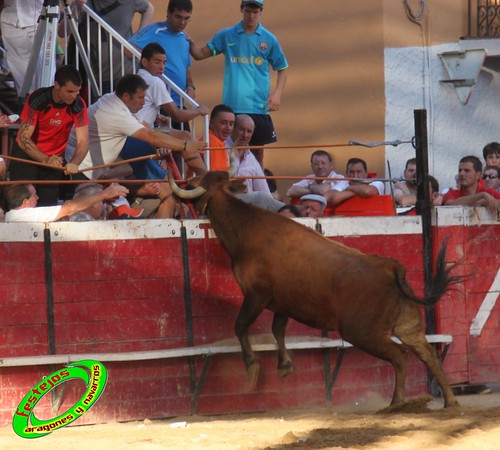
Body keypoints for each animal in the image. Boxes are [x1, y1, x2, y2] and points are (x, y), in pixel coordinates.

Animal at [171, 171, 460, 410]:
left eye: (196, 181)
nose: (181, 188)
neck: (246, 229)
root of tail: (391, 266)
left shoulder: (256, 296)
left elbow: (241, 326)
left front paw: (253, 370)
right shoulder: (282, 303)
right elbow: (278, 330)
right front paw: (285, 366)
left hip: (362, 333)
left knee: (400, 356)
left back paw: (397, 402)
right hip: (408, 327)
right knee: (429, 355)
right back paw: (449, 401)